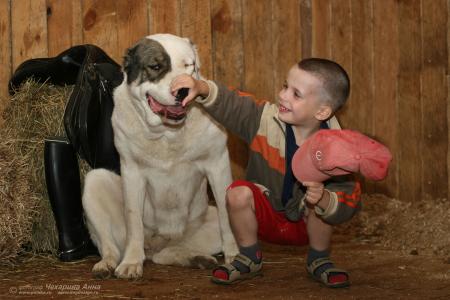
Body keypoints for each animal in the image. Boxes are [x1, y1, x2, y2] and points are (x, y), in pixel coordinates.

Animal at [84, 34, 239, 280]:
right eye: (156, 67)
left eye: (189, 66)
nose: (183, 90)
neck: (168, 134)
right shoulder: (132, 171)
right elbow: (133, 219)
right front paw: (131, 263)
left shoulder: (218, 164)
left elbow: (227, 216)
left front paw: (235, 255)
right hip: (94, 182)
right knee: (111, 246)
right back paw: (106, 264)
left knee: (166, 253)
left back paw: (197, 258)